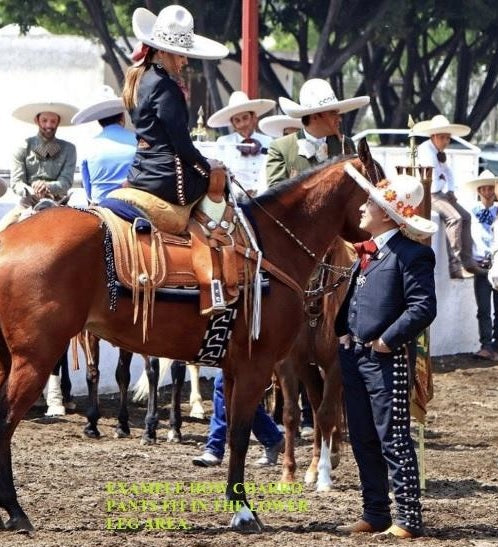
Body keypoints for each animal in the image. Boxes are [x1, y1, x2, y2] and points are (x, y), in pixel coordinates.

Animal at [0, 144, 376, 532]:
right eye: (380, 183)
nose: (379, 243)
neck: (269, 249)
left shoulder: (235, 365)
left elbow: (235, 431)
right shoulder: (257, 365)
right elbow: (240, 434)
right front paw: (243, 510)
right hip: (34, 360)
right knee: (5, 423)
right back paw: (15, 511)